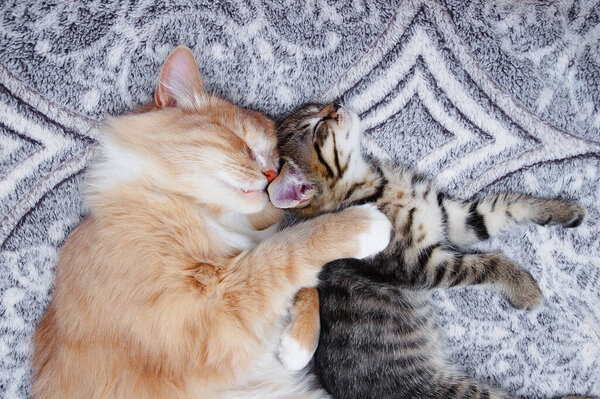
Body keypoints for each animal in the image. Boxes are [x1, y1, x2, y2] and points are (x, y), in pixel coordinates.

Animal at [31, 48, 394, 398]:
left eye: (277, 160)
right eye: (241, 142)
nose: (271, 174)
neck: (198, 208)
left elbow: (296, 272)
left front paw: (297, 344)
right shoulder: (209, 314)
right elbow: (287, 250)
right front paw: (363, 225)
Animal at [270, 104, 588, 399]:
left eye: (318, 109)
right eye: (316, 128)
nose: (336, 104)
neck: (376, 184)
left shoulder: (451, 217)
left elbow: (508, 205)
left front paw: (562, 209)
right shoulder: (420, 264)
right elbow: (487, 263)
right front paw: (525, 288)